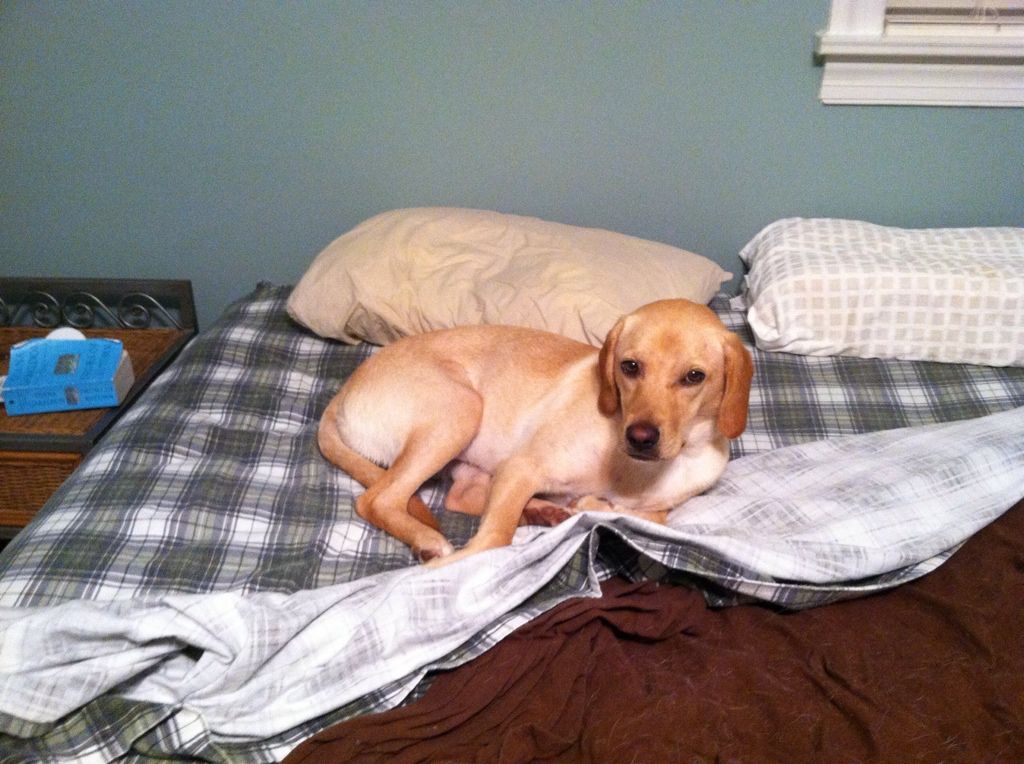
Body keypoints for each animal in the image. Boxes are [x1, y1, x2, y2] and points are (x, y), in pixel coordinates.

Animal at [317, 296, 753, 561]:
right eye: (630, 366)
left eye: (694, 376)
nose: (641, 437)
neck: (635, 471)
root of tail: (344, 392)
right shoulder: (520, 468)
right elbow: (493, 540)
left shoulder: (659, 506)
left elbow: (648, 517)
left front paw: (589, 506)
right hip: (459, 411)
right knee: (377, 500)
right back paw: (431, 542)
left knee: (459, 498)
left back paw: (544, 511)